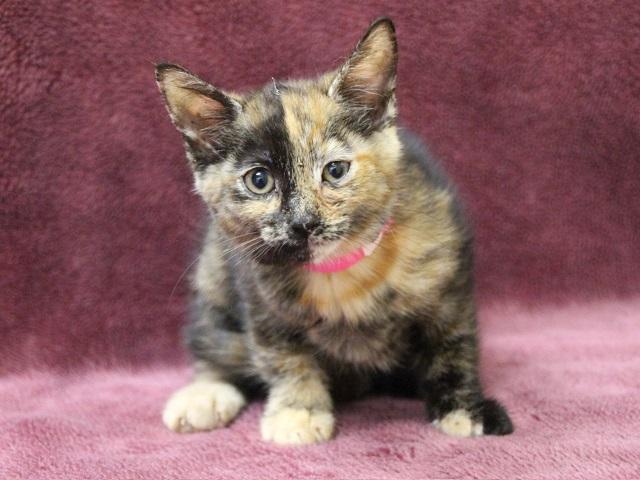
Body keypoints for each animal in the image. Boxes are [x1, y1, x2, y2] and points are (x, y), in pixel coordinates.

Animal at [155, 17, 513, 444]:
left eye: (335, 171)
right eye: (259, 180)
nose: (304, 222)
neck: (339, 271)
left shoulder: (449, 283)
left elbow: (454, 346)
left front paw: (464, 408)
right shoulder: (261, 299)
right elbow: (284, 357)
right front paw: (299, 410)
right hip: (213, 270)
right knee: (214, 343)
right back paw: (205, 395)